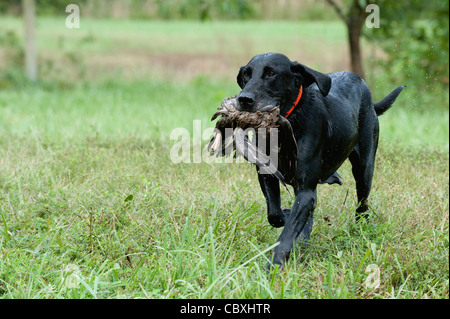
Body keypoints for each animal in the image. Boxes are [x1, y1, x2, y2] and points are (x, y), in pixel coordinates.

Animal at [236, 52, 404, 270]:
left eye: (271, 73)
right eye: (246, 74)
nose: (243, 99)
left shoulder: (306, 190)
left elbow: (288, 231)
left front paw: (274, 265)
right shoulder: (267, 175)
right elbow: (275, 214)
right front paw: (291, 219)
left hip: (364, 167)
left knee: (362, 205)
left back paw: (360, 229)